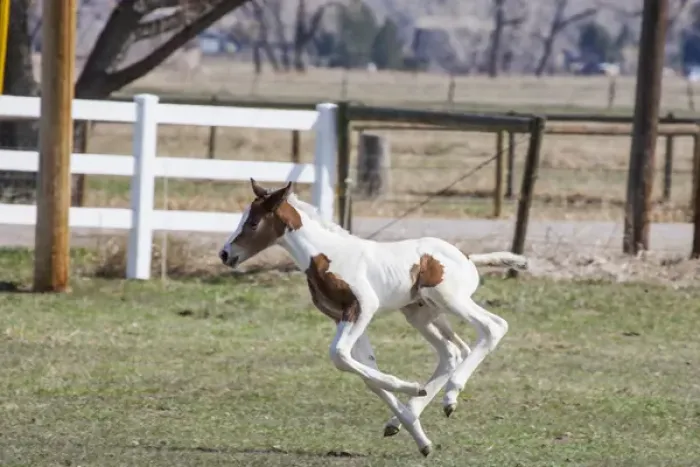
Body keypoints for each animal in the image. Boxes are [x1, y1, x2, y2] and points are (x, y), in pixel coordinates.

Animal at [218, 179, 528, 457]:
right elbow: (365, 371)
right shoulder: (342, 318)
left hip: (450, 299)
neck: (329, 256)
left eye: (253, 223)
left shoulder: (363, 308)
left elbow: (339, 356)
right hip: (421, 313)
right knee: (451, 351)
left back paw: (451, 396)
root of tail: (467, 256)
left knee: (493, 327)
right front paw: (418, 434)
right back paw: (408, 414)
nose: (224, 254)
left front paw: (410, 388)